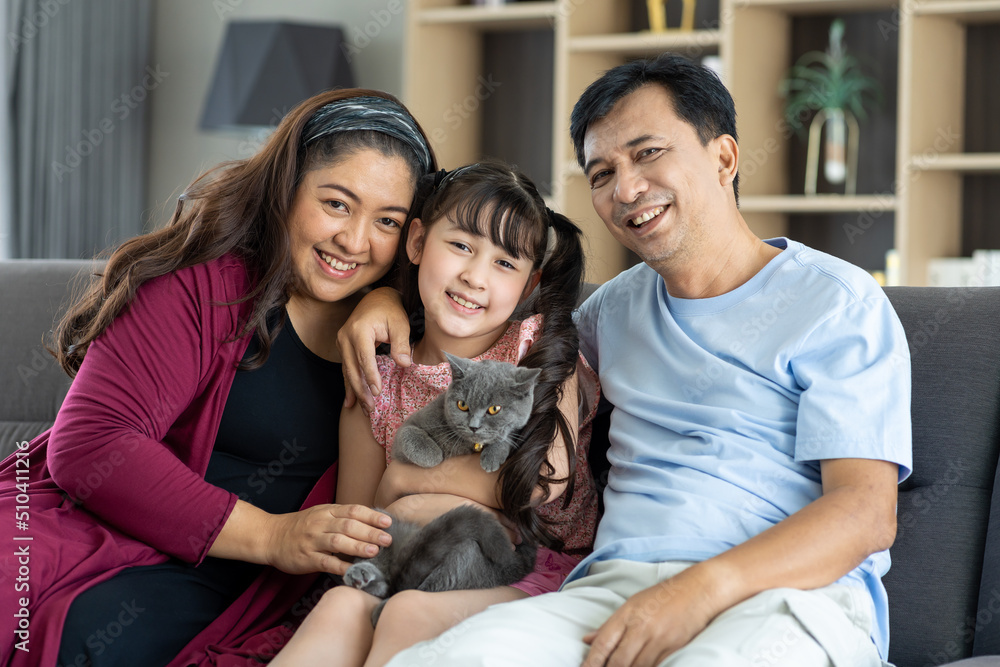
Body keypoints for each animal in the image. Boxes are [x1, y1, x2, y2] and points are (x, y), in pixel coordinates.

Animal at [348, 354, 544, 628]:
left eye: (494, 409)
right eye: (462, 405)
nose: (473, 426)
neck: (469, 445)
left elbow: (505, 437)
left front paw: (493, 455)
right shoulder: (408, 431)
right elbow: (414, 438)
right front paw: (437, 456)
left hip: (467, 556)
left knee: (417, 588)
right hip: (380, 525)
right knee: (389, 579)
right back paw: (361, 576)